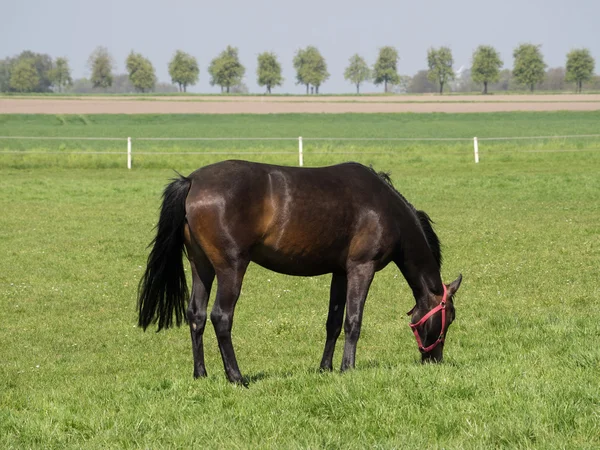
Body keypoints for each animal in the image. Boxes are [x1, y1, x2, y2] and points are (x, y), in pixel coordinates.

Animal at [138, 160, 462, 382]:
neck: (386, 209)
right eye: (449, 318)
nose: (434, 360)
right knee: (221, 316)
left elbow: (333, 322)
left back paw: (201, 374)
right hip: (231, 267)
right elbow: (353, 321)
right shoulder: (361, 268)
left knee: (197, 315)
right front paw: (348, 368)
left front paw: (325, 368)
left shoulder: (340, 272)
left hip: (201, 266)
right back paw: (236, 377)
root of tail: (192, 181)